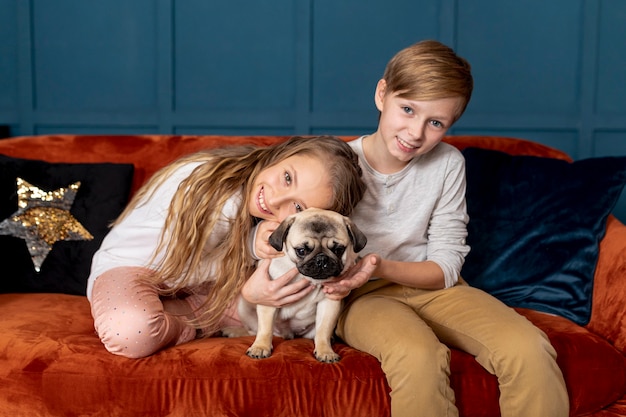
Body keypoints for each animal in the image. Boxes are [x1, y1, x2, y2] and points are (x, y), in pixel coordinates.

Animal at [222, 207, 366, 360]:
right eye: (301, 251)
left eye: (338, 250)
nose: (321, 259)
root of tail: (287, 334)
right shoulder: (269, 299)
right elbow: (265, 329)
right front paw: (260, 347)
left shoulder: (329, 303)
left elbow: (323, 331)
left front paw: (325, 351)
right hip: (243, 308)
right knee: (254, 330)